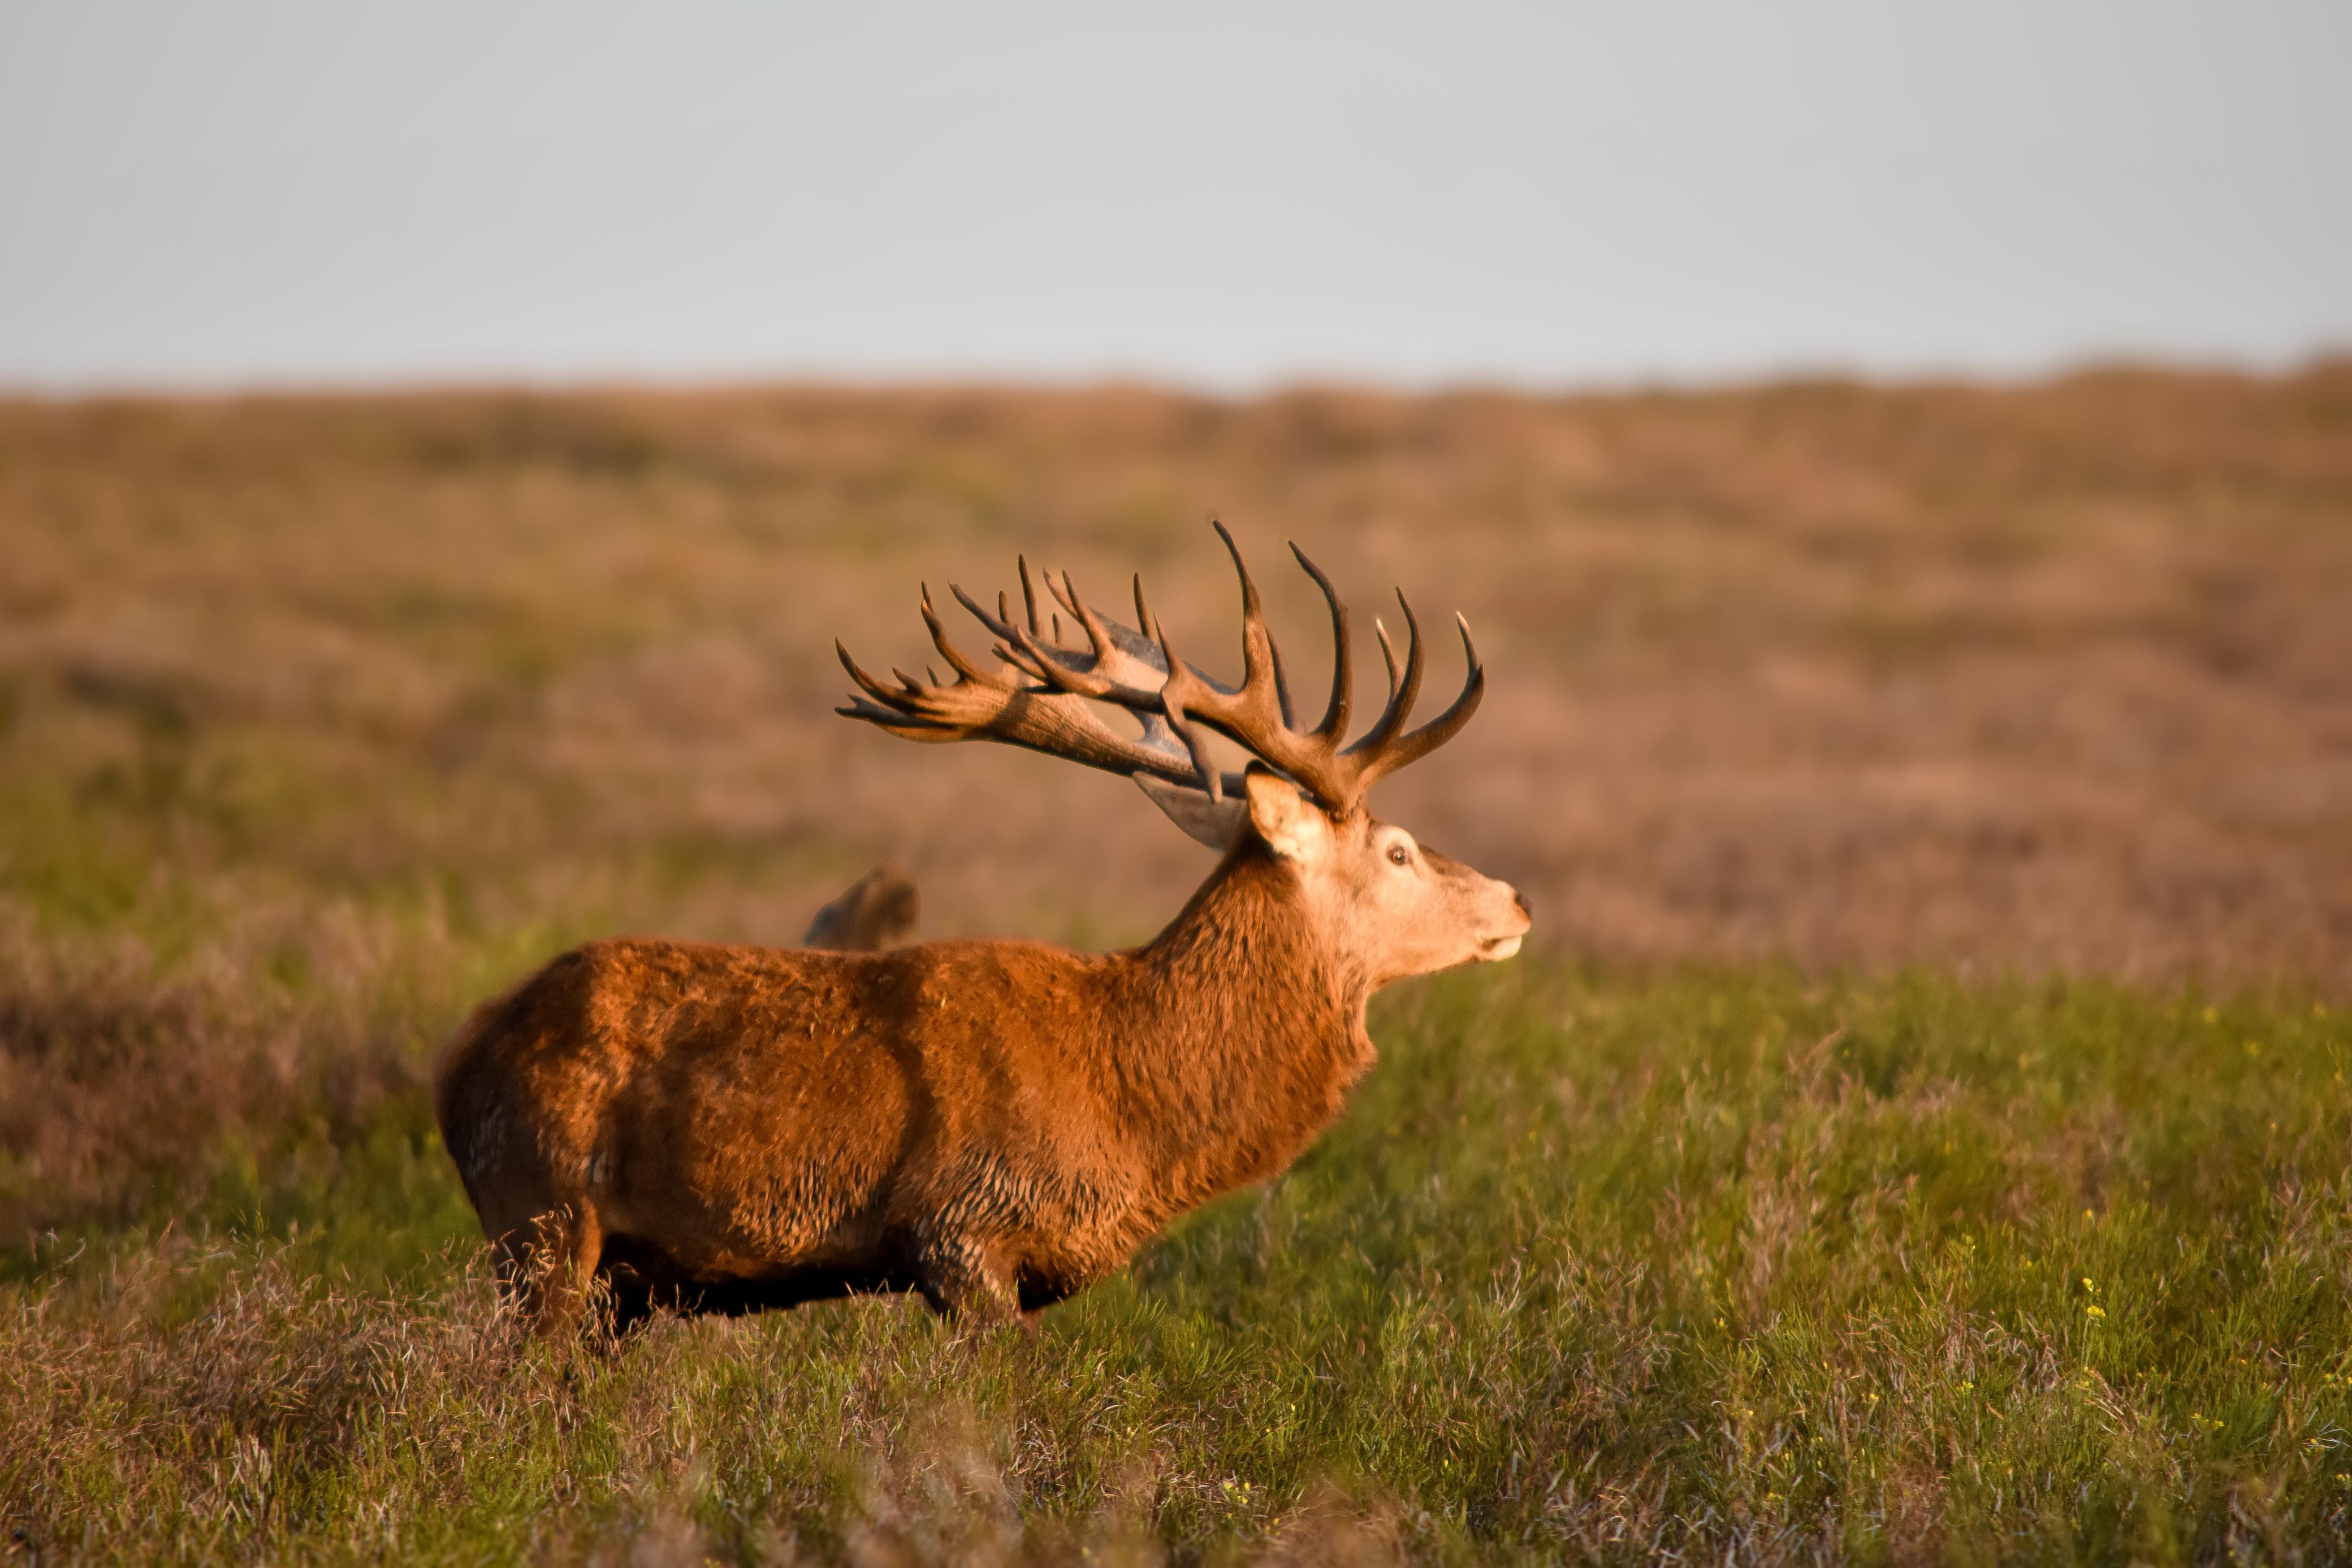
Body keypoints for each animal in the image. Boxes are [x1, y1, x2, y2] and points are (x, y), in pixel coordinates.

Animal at [432, 524, 1530, 1334]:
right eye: (1399, 850)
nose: (1516, 901)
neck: (1133, 1093)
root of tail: (458, 1062)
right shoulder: (962, 1227)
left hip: (607, 1276)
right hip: (539, 1215)